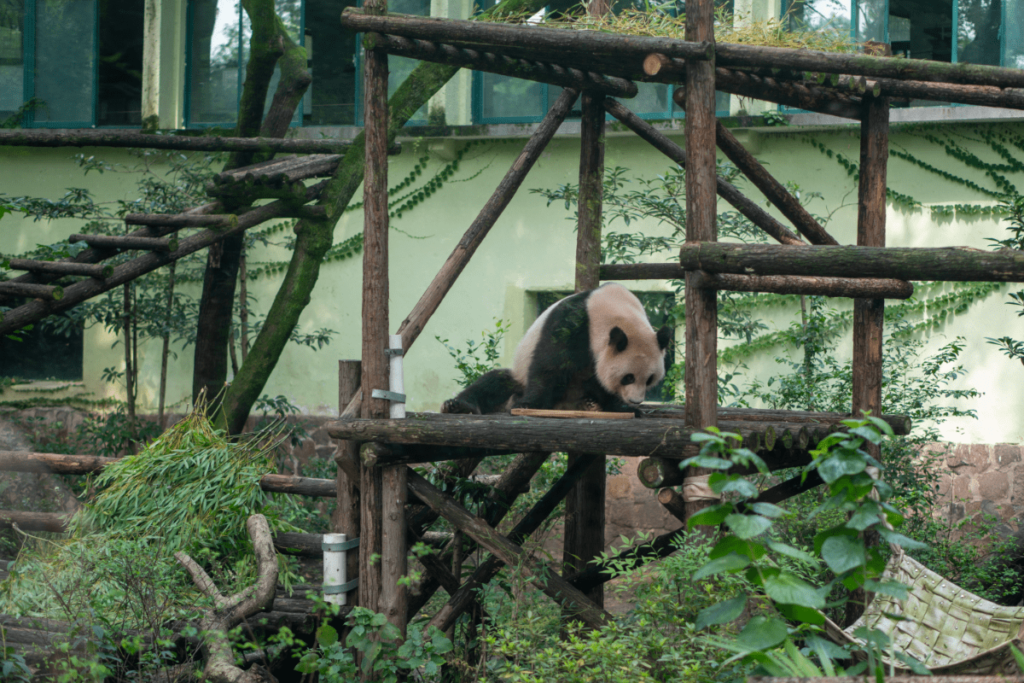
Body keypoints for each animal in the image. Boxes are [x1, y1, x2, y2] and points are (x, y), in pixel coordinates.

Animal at [442, 282, 671, 417]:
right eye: (628, 377)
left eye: (649, 379)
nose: (636, 400)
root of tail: (563, 406)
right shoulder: (574, 322)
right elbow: (549, 364)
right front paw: (528, 405)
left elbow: (601, 382)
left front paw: (622, 407)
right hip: (518, 377)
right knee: (495, 383)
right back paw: (459, 405)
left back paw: (590, 404)